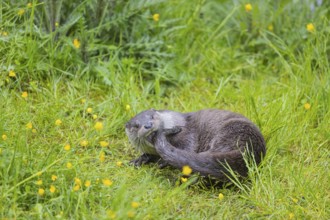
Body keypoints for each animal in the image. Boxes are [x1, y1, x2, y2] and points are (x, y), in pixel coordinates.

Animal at [125, 109, 266, 181]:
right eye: (136, 125)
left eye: (152, 116)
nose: (148, 125)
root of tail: (250, 149)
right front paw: (139, 159)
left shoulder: (187, 133)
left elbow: (189, 146)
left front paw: (162, 162)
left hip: (229, 133)